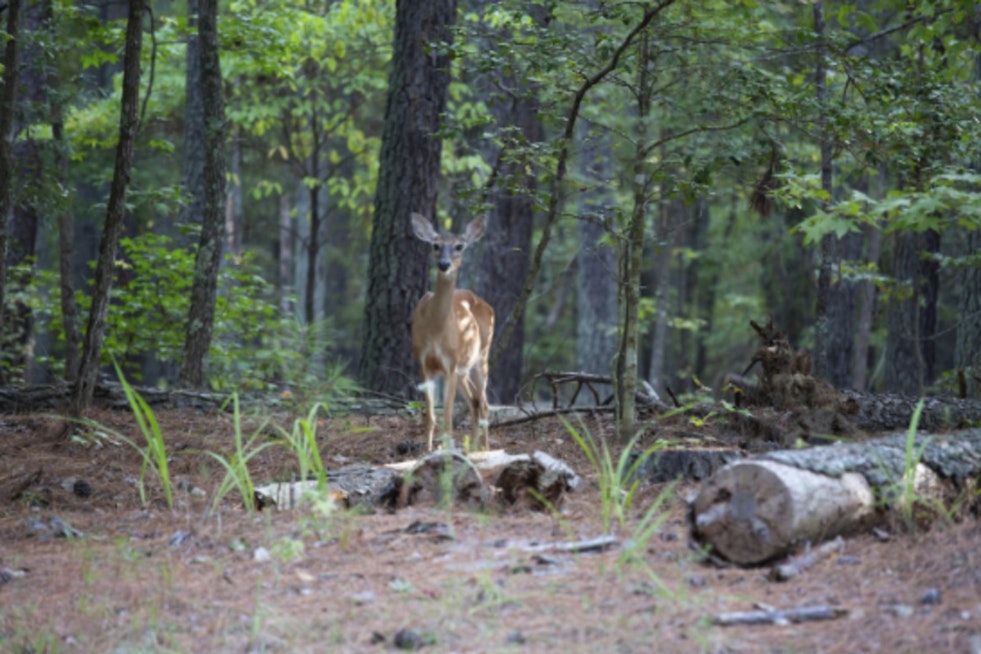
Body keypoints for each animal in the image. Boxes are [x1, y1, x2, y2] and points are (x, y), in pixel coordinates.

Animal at [410, 212, 495, 452]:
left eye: (459, 246)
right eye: (435, 245)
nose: (444, 264)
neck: (435, 329)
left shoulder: (450, 363)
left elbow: (447, 419)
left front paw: (445, 453)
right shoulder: (424, 363)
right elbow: (430, 418)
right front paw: (427, 452)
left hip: (482, 355)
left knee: (485, 403)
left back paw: (485, 449)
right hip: (463, 368)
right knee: (476, 401)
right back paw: (473, 448)